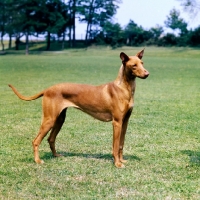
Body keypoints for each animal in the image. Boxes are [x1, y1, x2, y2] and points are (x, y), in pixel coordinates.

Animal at [8, 49, 149, 168]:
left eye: (142, 63)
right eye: (134, 65)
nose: (147, 73)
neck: (124, 88)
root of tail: (47, 89)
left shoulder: (125, 122)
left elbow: (121, 144)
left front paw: (122, 160)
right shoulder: (117, 122)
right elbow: (115, 145)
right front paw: (117, 163)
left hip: (59, 119)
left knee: (51, 138)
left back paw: (56, 155)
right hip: (49, 119)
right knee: (36, 141)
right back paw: (37, 160)